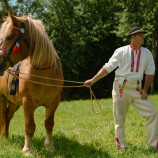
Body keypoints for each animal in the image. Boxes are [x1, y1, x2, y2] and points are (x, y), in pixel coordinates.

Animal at [0, 12, 63, 153]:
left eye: (9, 37)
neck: (44, 72)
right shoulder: (27, 102)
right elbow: (29, 126)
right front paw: (27, 149)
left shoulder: (54, 102)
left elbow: (49, 123)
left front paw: (49, 146)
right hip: (2, 98)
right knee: (2, 116)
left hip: (14, 103)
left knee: (7, 115)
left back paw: (6, 136)